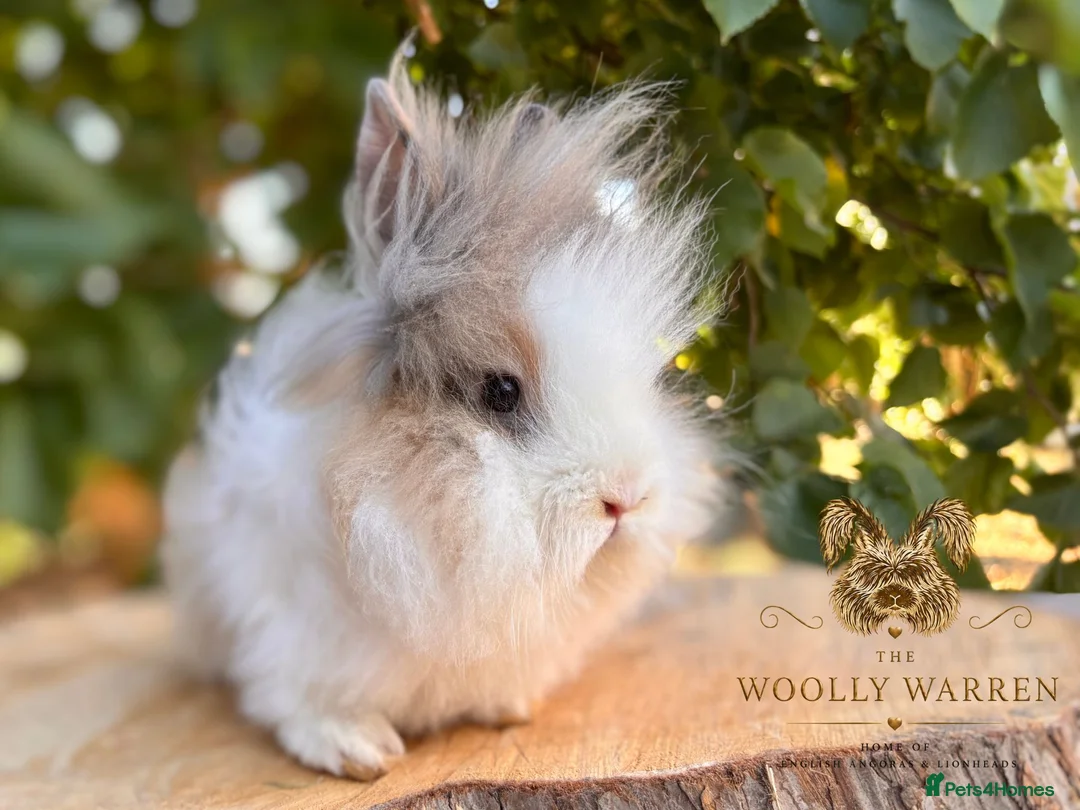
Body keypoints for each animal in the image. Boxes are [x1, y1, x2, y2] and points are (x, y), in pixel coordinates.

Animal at [161, 49, 726, 780]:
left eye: (650, 379)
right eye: (500, 392)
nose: (627, 498)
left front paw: (509, 709)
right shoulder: (289, 627)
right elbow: (301, 699)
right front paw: (358, 751)